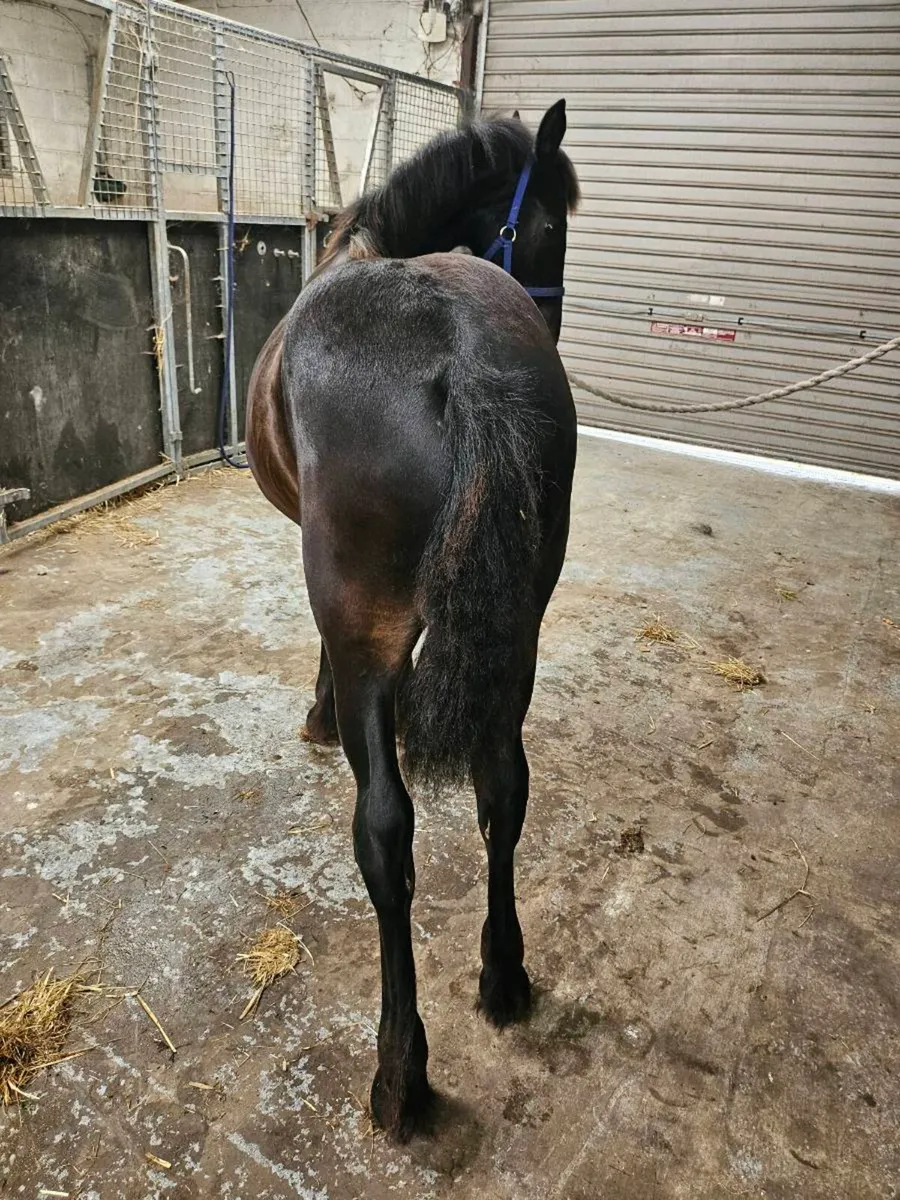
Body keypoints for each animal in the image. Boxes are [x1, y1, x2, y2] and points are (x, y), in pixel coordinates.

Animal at [246, 101, 580, 1141]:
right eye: (545, 225)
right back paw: (504, 976)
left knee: (387, 833)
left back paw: (401, 1071)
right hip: (521, 633)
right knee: (504, 786)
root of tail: (460, 353)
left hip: (367, 627)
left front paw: (315, 716)